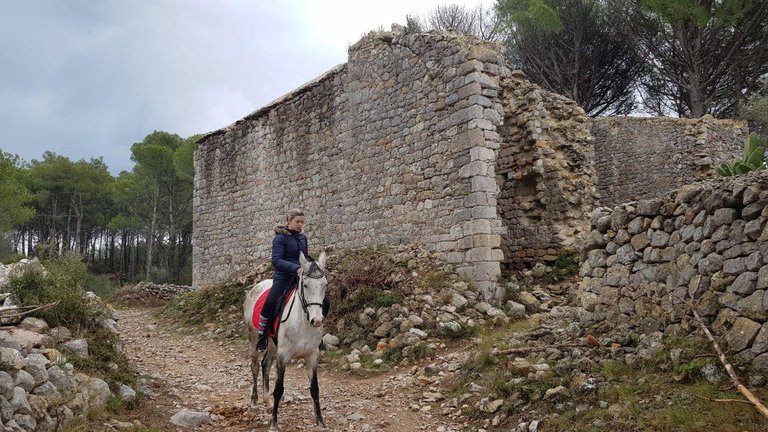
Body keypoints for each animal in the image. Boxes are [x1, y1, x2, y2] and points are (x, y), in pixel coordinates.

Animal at [243, 251, 328, 430]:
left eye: (324, 284)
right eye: (305, 285)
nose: (317, 320)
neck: (302, 321)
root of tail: (257, 286)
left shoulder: (312, 355)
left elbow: (315, 388)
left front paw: (320, 421)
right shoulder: (283, 356)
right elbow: (279, 389)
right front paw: (274, 424)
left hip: (272, 345)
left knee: (265, 364)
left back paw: (268, 402)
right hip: (253, 338)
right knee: (255, 366)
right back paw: (254, 403)